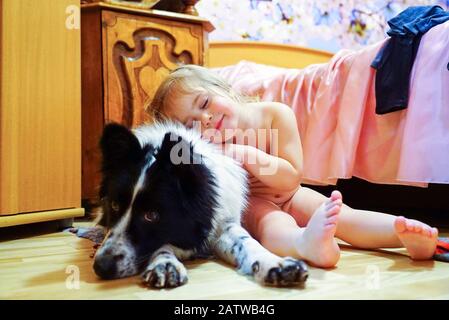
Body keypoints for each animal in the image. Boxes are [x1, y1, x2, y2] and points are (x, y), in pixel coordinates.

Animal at [94, 122, 308, 288]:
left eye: (151, 215)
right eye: (114, 205)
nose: (100, 267)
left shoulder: (223, 223)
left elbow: (247, 241)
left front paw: (276, 264)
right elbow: (163, 243)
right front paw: (165, 263)